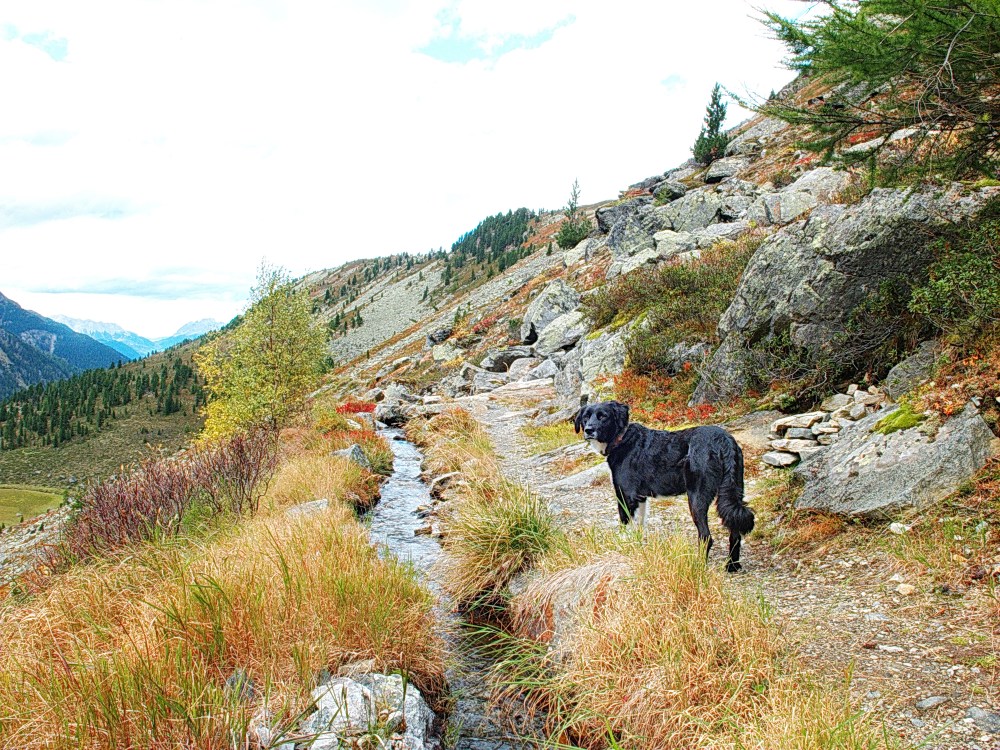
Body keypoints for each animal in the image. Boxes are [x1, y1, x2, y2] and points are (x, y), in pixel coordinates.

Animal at [574, 400, 754, 572]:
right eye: (585, 417)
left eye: (603, 416)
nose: (588, 430)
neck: (622, 437)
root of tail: (724, 440)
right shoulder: (640, 499)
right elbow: (639, 527)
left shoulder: (626, 496)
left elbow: (626, 526)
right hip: (733, 490)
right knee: (735, 531)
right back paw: (732, 566)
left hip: (697, 497)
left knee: (706, 536)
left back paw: (698, 565)